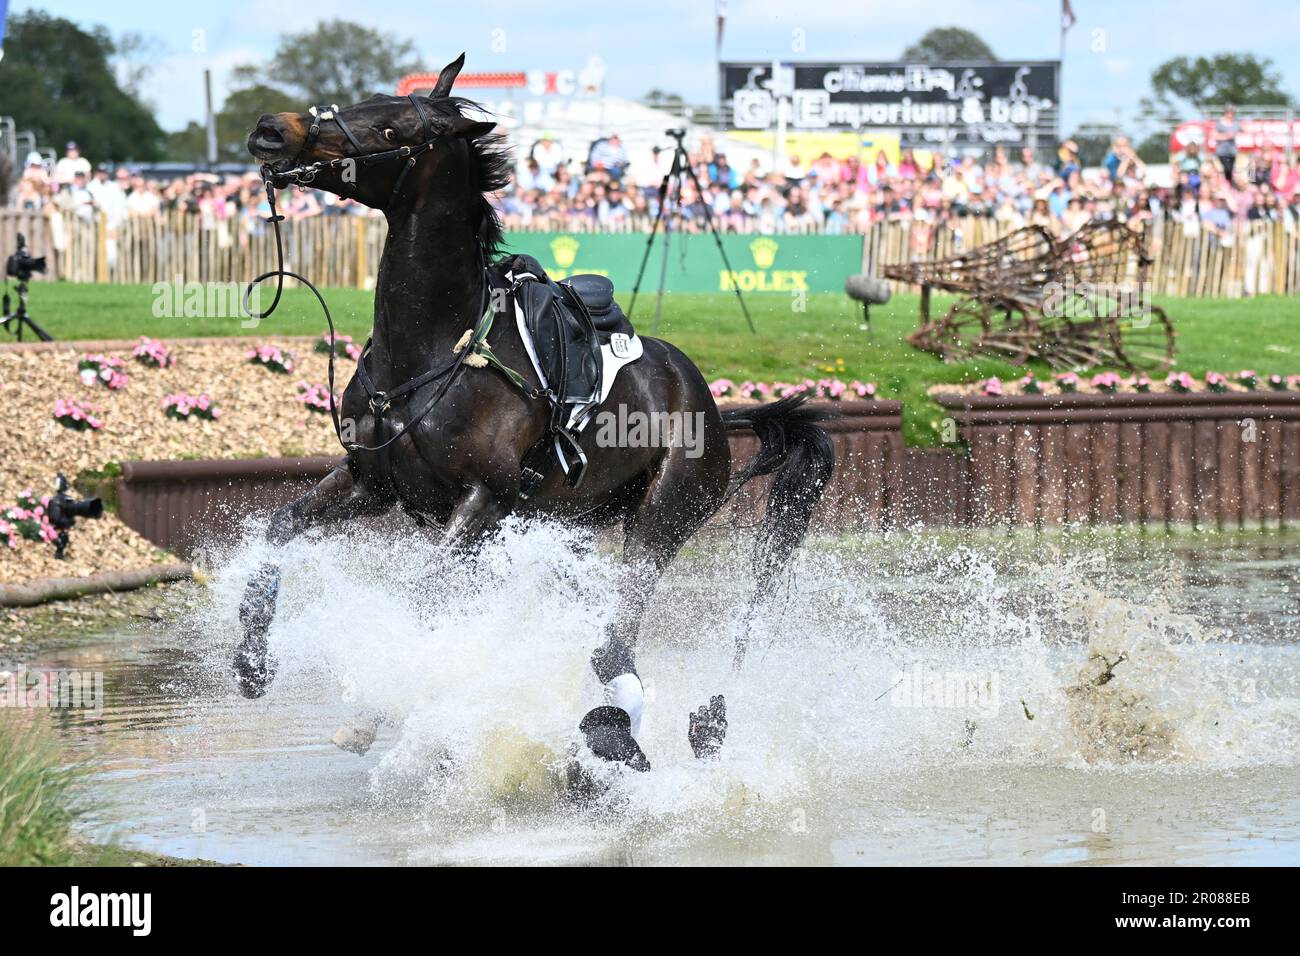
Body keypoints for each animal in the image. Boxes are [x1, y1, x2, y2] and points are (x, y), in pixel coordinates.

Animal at [241, 52, 832, 770]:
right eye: (364, 101)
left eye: (389, 130)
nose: (272, 130)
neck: (432, 347)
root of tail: (717, 411)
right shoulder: (369, 482)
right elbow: (278, 532)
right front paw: (251, 662)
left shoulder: (482, 501)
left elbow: (422, 601)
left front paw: (377, 708)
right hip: (572, 528)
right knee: (609, 648)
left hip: (660, 522)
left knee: (614, 643)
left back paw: (633, 736)